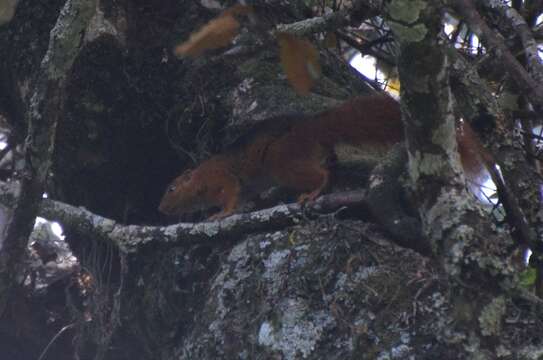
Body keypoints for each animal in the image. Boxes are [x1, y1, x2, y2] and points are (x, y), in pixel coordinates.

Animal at [158, 95, 492, 219]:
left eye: (171, 188)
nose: (160, 209)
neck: (199, 177)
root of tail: (314, 127)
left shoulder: (219, 178)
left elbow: (230, 195)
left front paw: (219, 214)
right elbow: (244, 197)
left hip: (284, 161)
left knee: (320, 175)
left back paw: (313, 192)